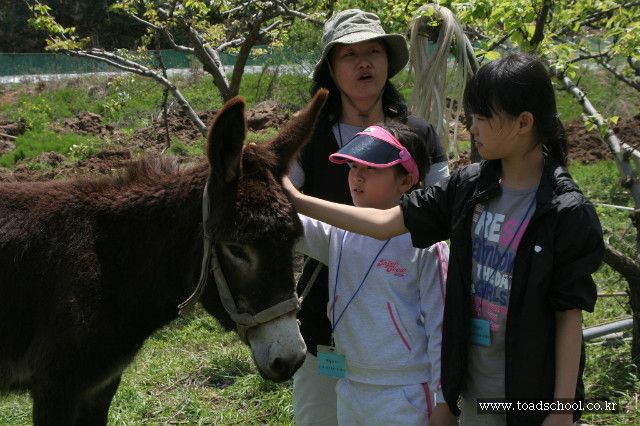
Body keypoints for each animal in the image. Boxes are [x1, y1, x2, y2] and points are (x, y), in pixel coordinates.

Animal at [0, 89, 328, 425]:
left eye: (293, 242)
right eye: (236, 249)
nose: (291, 358)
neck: (111, 262)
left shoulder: (102, 385)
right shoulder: (55, 388)